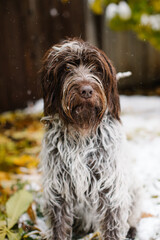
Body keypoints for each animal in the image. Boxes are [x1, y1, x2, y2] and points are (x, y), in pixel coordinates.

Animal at [40, 38, 141, 239]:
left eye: (96, 68)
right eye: (66, 68)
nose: (86, 91)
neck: (82, 130)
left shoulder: (110, 187)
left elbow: (113, 225)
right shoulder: (58, 188)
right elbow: (58, 226)